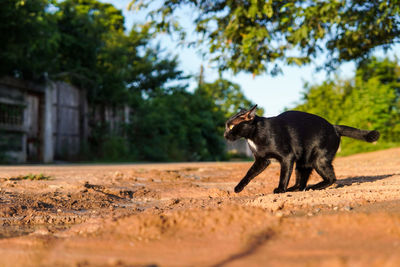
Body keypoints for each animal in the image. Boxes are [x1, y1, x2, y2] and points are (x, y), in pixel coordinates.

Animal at [223, 105, 380, 195]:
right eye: (226, 126)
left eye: (231, 126)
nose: (225, 135)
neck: (253, 136)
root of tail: (334, 127)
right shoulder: (262, 160)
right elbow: (249, 173)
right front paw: (238, 188)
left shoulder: (287, 157)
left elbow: (284, 175)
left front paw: (280, 189)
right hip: (303, 161)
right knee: (301, 182)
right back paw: (296, 188)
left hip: (319, 160)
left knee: (331, 178)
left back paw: (315, 186)